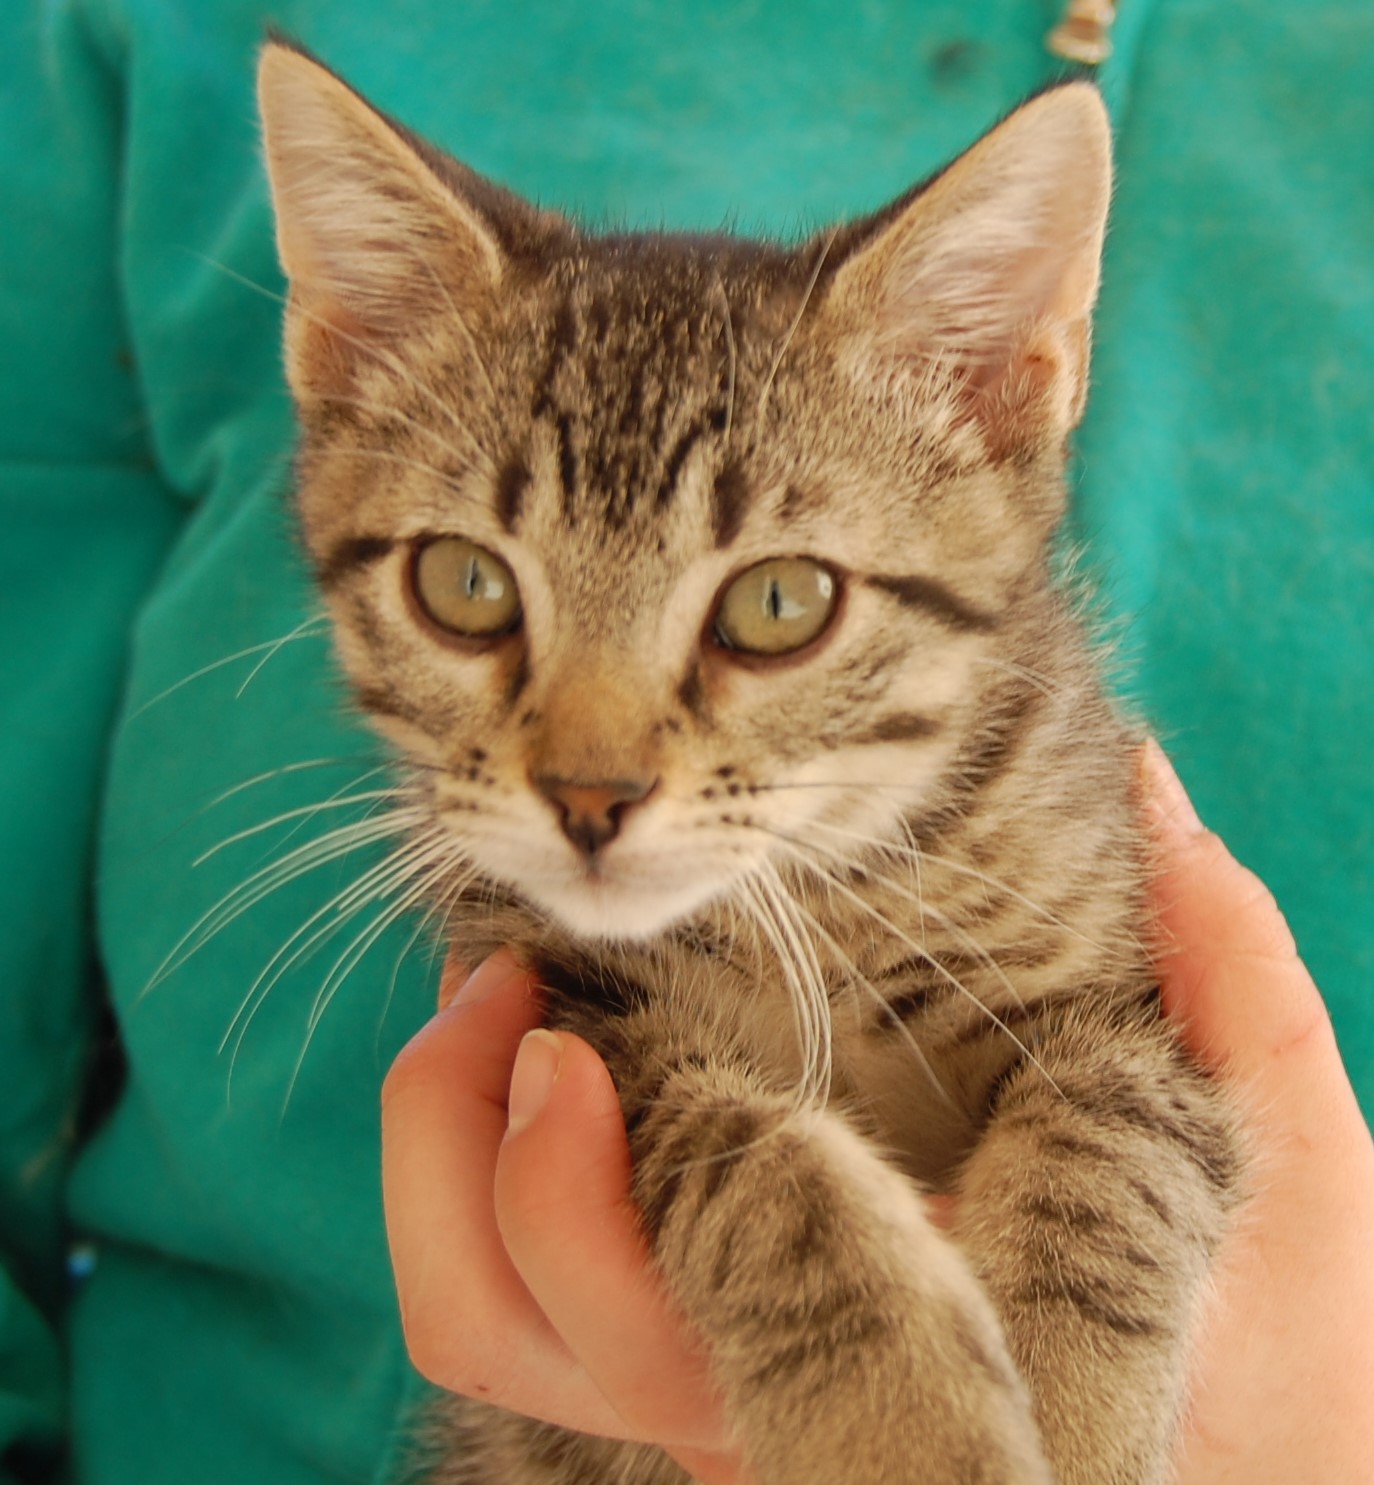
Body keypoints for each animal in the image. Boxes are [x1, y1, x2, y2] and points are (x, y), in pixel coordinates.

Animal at [254, 40, 1235, 1485]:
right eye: (465, 585)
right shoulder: (567, 1012)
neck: (827, 893)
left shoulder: (1122, 988)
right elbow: (758, 1168)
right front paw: (902, 1414)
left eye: (778, 605)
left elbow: (1112, 1138)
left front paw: (1075, 1408)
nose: (588, 798)